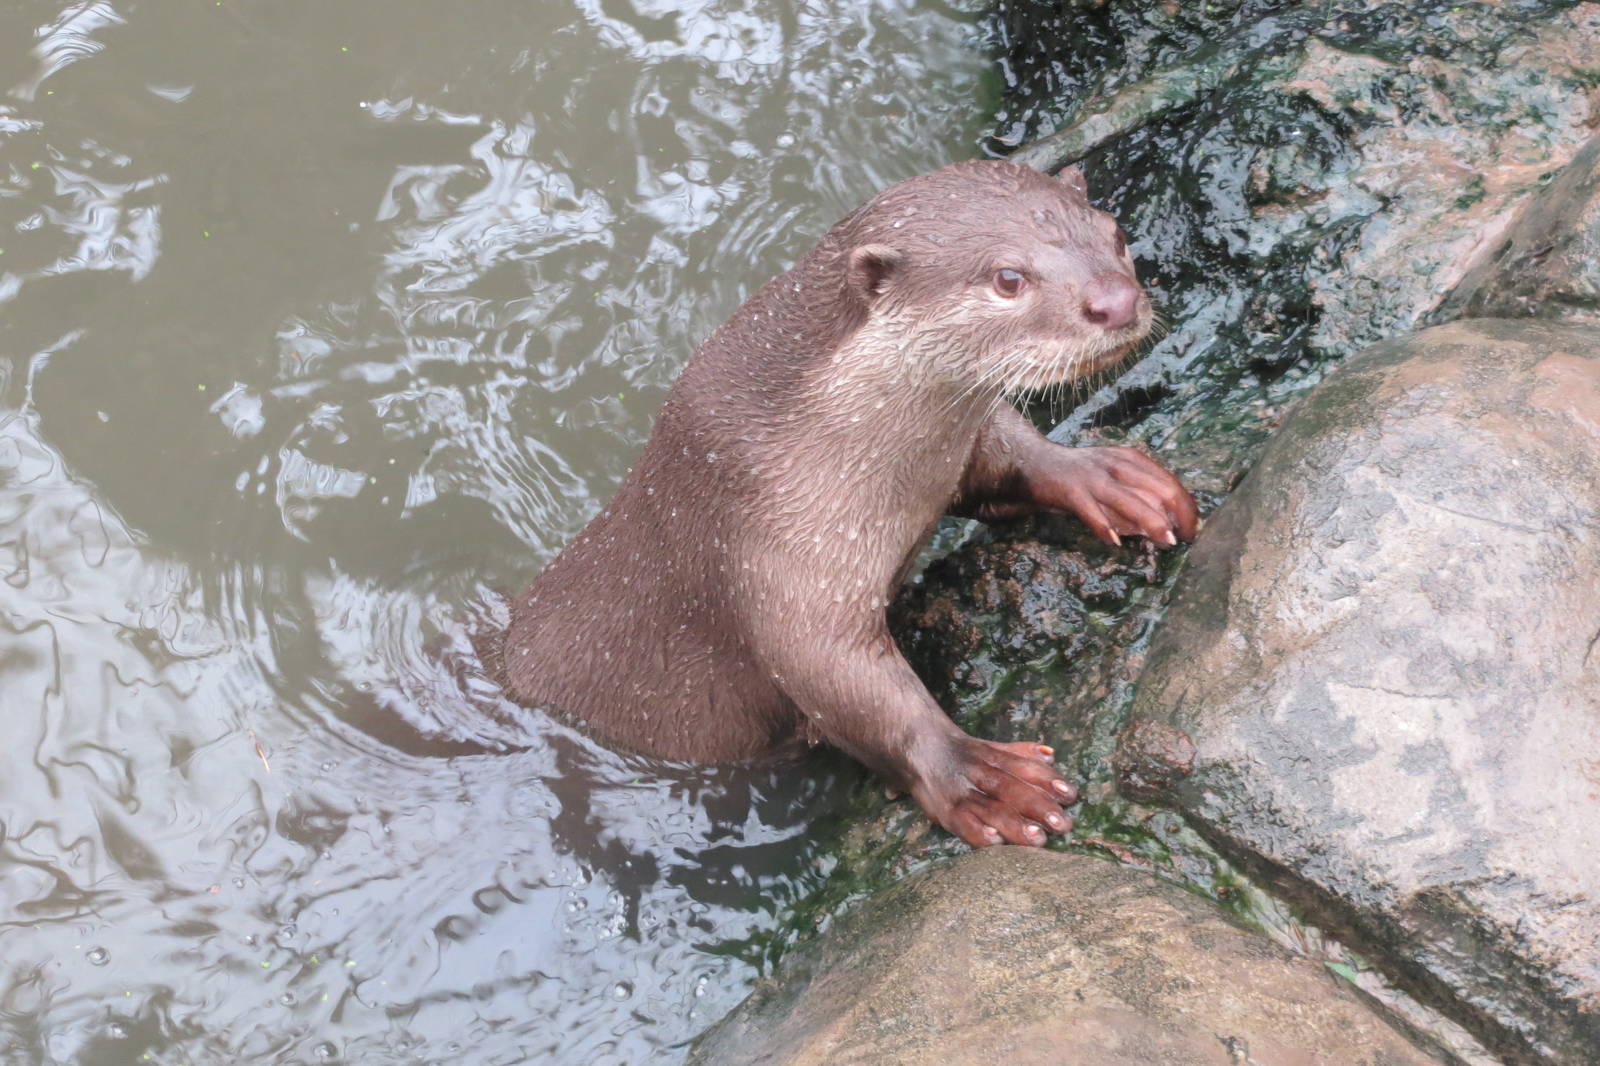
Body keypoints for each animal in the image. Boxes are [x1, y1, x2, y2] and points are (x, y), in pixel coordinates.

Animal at [504, 160, 1197, 847]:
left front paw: (1103, 476)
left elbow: (1004, 457)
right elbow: (838, 677)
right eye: (1009, 278)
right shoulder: (768, 537)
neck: (819, 440)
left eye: (1115, 235)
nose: (1116, 300)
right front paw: (979, 776)